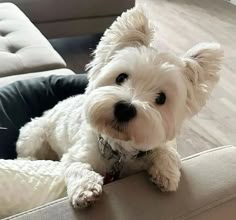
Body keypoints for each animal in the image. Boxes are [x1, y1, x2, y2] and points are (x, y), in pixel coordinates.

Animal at [16, 7, 223, 208]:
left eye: (161, 98)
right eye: (121, 77)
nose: (125, 109)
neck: (119, 151)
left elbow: (166, 149)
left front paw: (167, 173)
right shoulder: (76, 154)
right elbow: (76, 167)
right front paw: (86, 188)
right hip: (34, 134)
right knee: (25, 154)